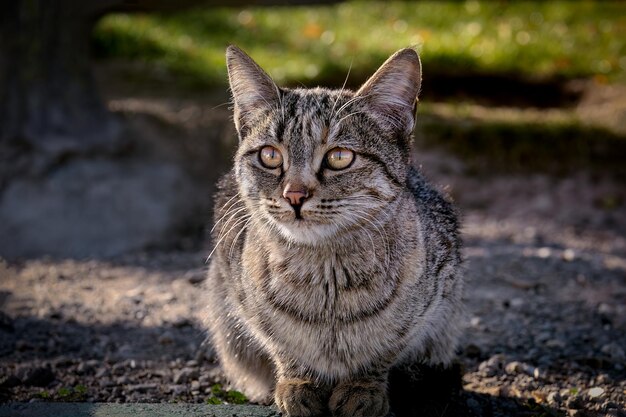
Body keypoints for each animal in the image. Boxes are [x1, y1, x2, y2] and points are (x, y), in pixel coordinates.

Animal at [202, 45, 460, 416]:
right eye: (269, 155)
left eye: (339, 157)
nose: (294, 194)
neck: (327, 271)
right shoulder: (242, 297)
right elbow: (281, 343)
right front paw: (298, 382)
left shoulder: (434, 296)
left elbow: (385, 348)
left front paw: (363, 388)